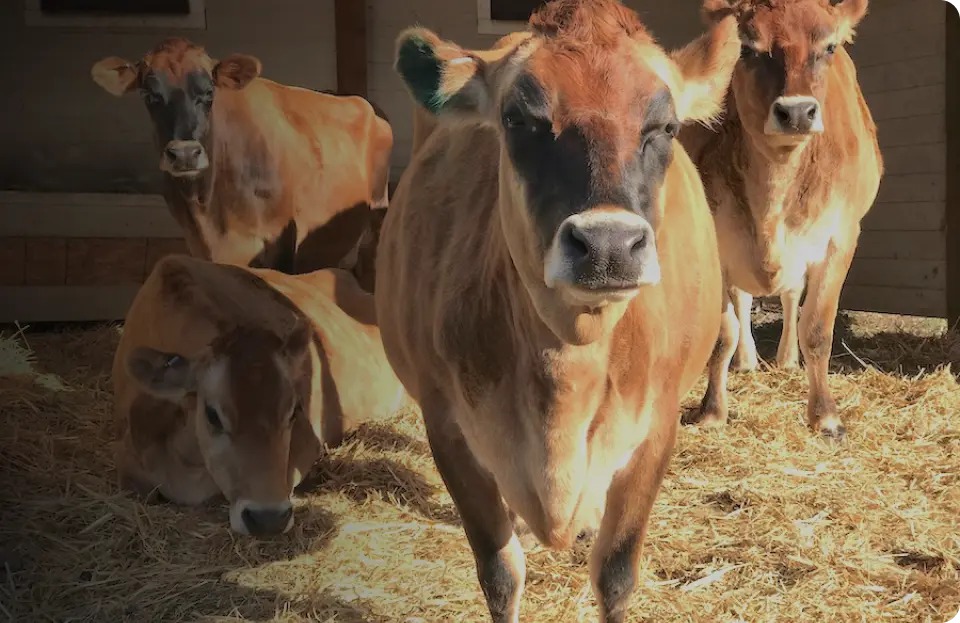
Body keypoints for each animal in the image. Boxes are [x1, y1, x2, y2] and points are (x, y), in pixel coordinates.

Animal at [91, 37, 394, 280]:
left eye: (209, 92)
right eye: (148, 94)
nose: (185, 153)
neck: (208, 206)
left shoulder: (282, 244)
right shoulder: (199, 245)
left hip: (378, 217)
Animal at [373, 1, 740, 620]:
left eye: (665, 128)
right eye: (517, 119)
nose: (609, 244)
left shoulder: (657, 428)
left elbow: (615, 575)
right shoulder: (447, 426)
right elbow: (500, 573)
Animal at [680, 0, 883, 439]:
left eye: (828, 47)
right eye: (747, 48)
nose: (796, 111)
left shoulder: (840, 238)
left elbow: (817, 328)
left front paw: (825, 417)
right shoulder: (718, 243)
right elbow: (723, 333)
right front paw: (712, 411)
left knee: (791, 295)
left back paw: (787, 358)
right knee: (744, 302)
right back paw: (747, 360)